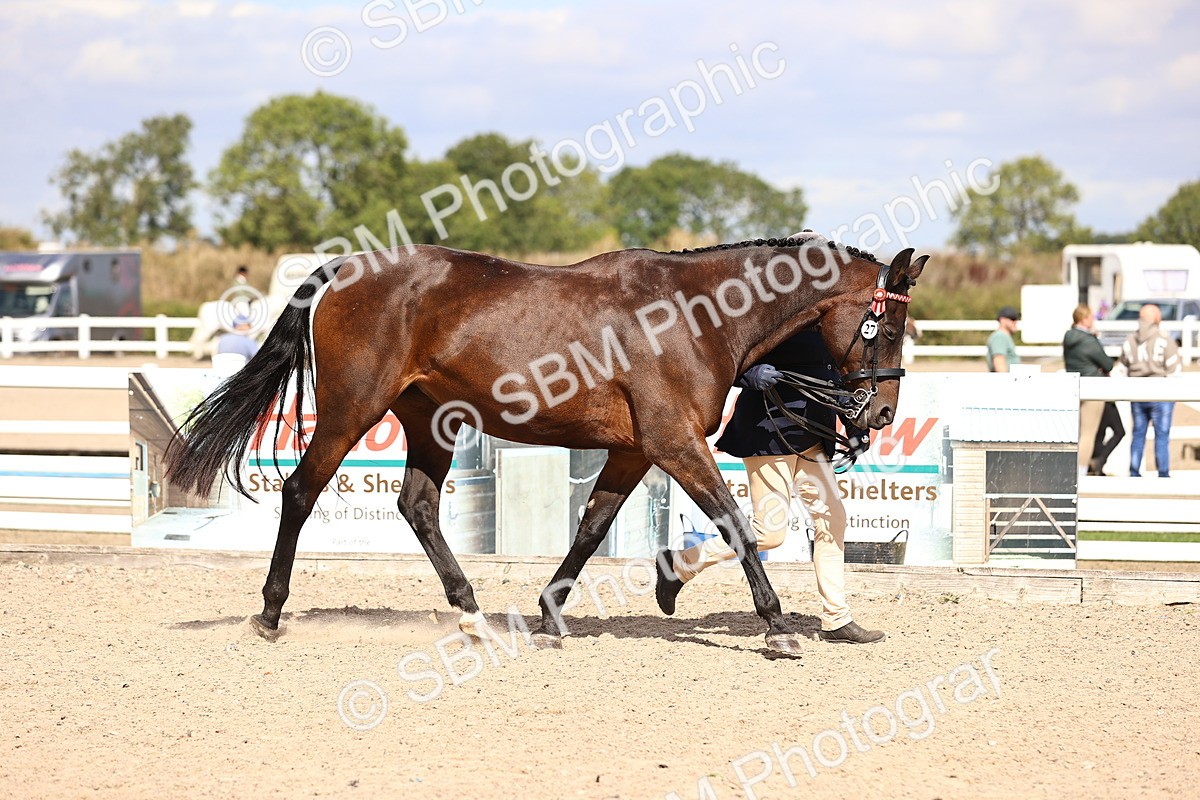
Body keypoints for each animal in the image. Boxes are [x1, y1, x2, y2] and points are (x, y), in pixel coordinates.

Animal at [164, 235, 927, 657]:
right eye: (886, 328)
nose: (881, 413)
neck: (696, 316)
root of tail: (349, 269)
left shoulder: (635, 450)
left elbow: (591, 527)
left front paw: (553, 614)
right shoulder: (674, 441)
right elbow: (737, 528)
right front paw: (777, 629)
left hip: (430, 419)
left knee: (418, 506)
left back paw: (473, 616)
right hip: (356, 406)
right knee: (301, 490)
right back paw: (269, 614)